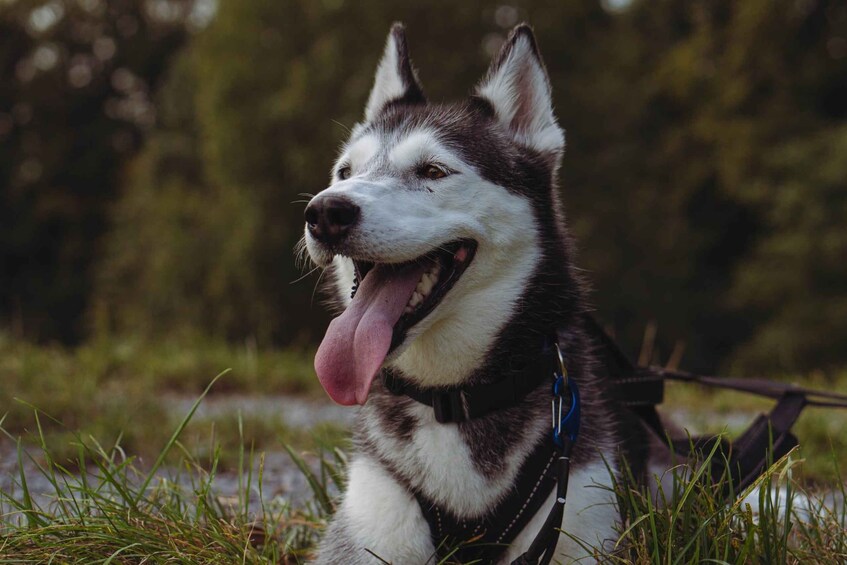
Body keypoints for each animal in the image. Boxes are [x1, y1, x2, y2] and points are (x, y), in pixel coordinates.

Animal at [304, 23, 648, 564]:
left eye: (433, 171)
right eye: (345, 173)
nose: (324, 212)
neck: (452, 398)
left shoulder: (580, 516)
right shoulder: (368, 531)